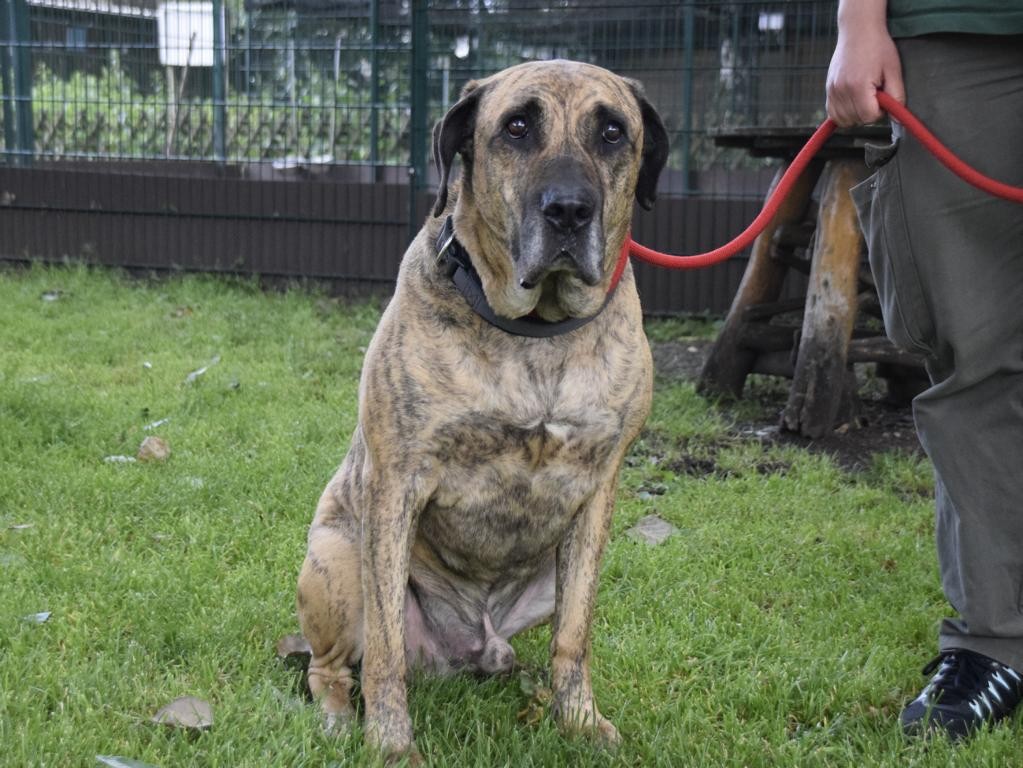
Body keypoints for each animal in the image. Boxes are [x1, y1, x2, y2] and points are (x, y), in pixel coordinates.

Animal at [294, 58, 671, 756]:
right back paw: (336, 717)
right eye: (517, 127)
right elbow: (384, 650)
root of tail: (469, 644)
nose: (570, 210)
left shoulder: (598, 491)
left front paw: (579, 721)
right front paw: (391, 746)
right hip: (339, 562)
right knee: (329, 665)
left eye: (612, 132)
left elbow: (574, 637)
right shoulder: (397, 483)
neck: (537, 335)